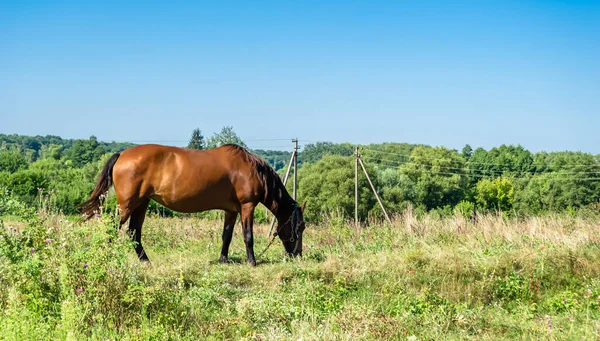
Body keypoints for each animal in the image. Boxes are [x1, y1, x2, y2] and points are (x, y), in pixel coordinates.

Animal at [78, 142, 304, 264]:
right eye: (300, 227)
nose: (298, 254)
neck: (251, 169)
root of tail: (122, 154)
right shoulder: (247, 206)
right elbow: (248, 236)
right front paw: (252, 261)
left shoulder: (231, 210)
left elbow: (227, 236)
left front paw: (223, 260)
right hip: (127, 205)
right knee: (112, 230)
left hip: (141, 203)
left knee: (134, 232)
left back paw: (146, 261)